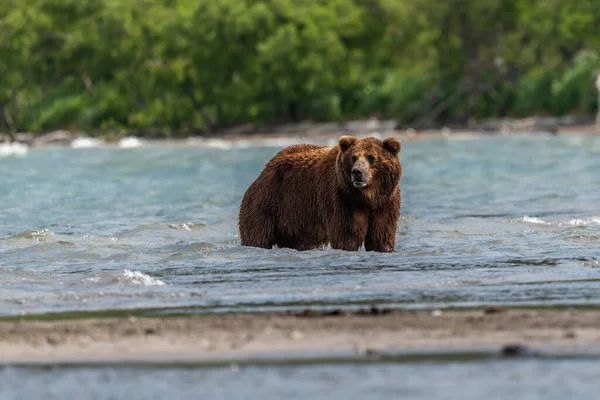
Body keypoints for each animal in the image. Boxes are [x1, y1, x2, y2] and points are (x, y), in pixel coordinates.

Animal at [237, 136, 400, 252]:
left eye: (371, 157)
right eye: (353, 157)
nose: (357, 172)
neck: (368, 196)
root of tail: (262, 172)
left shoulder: (386, 202)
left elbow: (381, 234)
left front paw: (383, 247)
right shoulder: (343, 198)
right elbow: (347, 234)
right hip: (266, 203)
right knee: (257, 235)